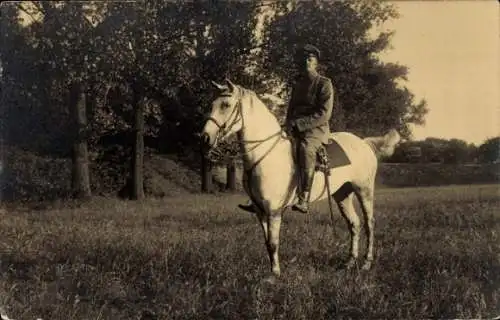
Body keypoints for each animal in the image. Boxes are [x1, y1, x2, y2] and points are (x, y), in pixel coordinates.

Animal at [201, 79, 400, 280]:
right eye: (212, 105)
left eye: (226, 105)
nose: (205, 137)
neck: (266, 154)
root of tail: (363, 143)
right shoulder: (259, 211)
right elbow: (267, 243)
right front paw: (272, 271)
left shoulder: (273, 211)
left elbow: (273, 243)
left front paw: (274, 275)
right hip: (342, 194)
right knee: (354, 223)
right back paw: (350, 263)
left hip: (364, 190)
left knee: (369, 223)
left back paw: (367, 263)